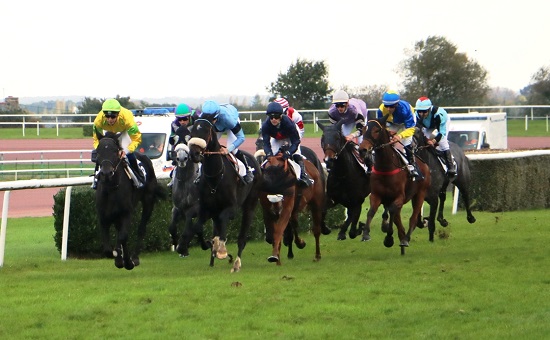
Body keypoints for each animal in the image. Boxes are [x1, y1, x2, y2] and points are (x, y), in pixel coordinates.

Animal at [96, 131, 167, 270]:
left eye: (115, 151)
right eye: (98, 151)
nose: (106, 173)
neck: (112, 188)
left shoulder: (127, 213)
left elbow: (123, 237)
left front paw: (126, 261)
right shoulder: (104, 216)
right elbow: (108, 249)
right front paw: (119, 257)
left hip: (148, 201)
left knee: (141, 229)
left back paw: (134, 258)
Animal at [185, 118, 264, 272]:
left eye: (205, 131)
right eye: (192, 132)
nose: (194, 154)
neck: (215, 176)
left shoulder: (231, 208)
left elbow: (223, 220)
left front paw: (221, 250)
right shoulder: (206, 207)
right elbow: (198, 227)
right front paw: (208, 245)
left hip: (250, 205)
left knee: (242, 238)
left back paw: (236, 263)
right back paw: (213, 258)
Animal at [360, 115, 434, 254]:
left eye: (377, 130)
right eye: (363, 129)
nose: (362, 149)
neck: (385, 168)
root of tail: (424, 164)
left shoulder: (399, 196)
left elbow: (392, 211)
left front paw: (389, 237)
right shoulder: (376, 195)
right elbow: (372, 211)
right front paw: (366, 233)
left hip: (420, 194)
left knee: (412, 218)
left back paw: (406, 239)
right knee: (397, 218)